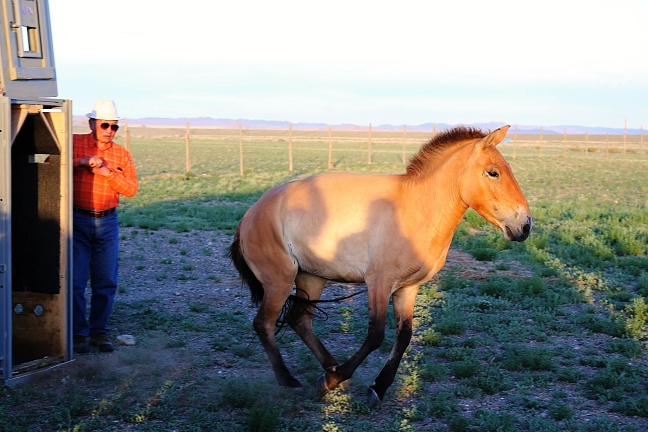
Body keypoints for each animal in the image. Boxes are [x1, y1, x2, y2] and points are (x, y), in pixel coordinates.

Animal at [228, 125, 532, 408]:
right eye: (493, 172)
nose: (526, 225)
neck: (417, 209)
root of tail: (252, 213)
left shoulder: (407, 289)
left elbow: (404, 336)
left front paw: (375, 387)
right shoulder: (378, 283)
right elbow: (376, 335)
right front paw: (336, 380)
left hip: (311, 278)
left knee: (299, 320)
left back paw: (330, 368)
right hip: (279, 281)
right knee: (264, 323)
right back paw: (292, 380)